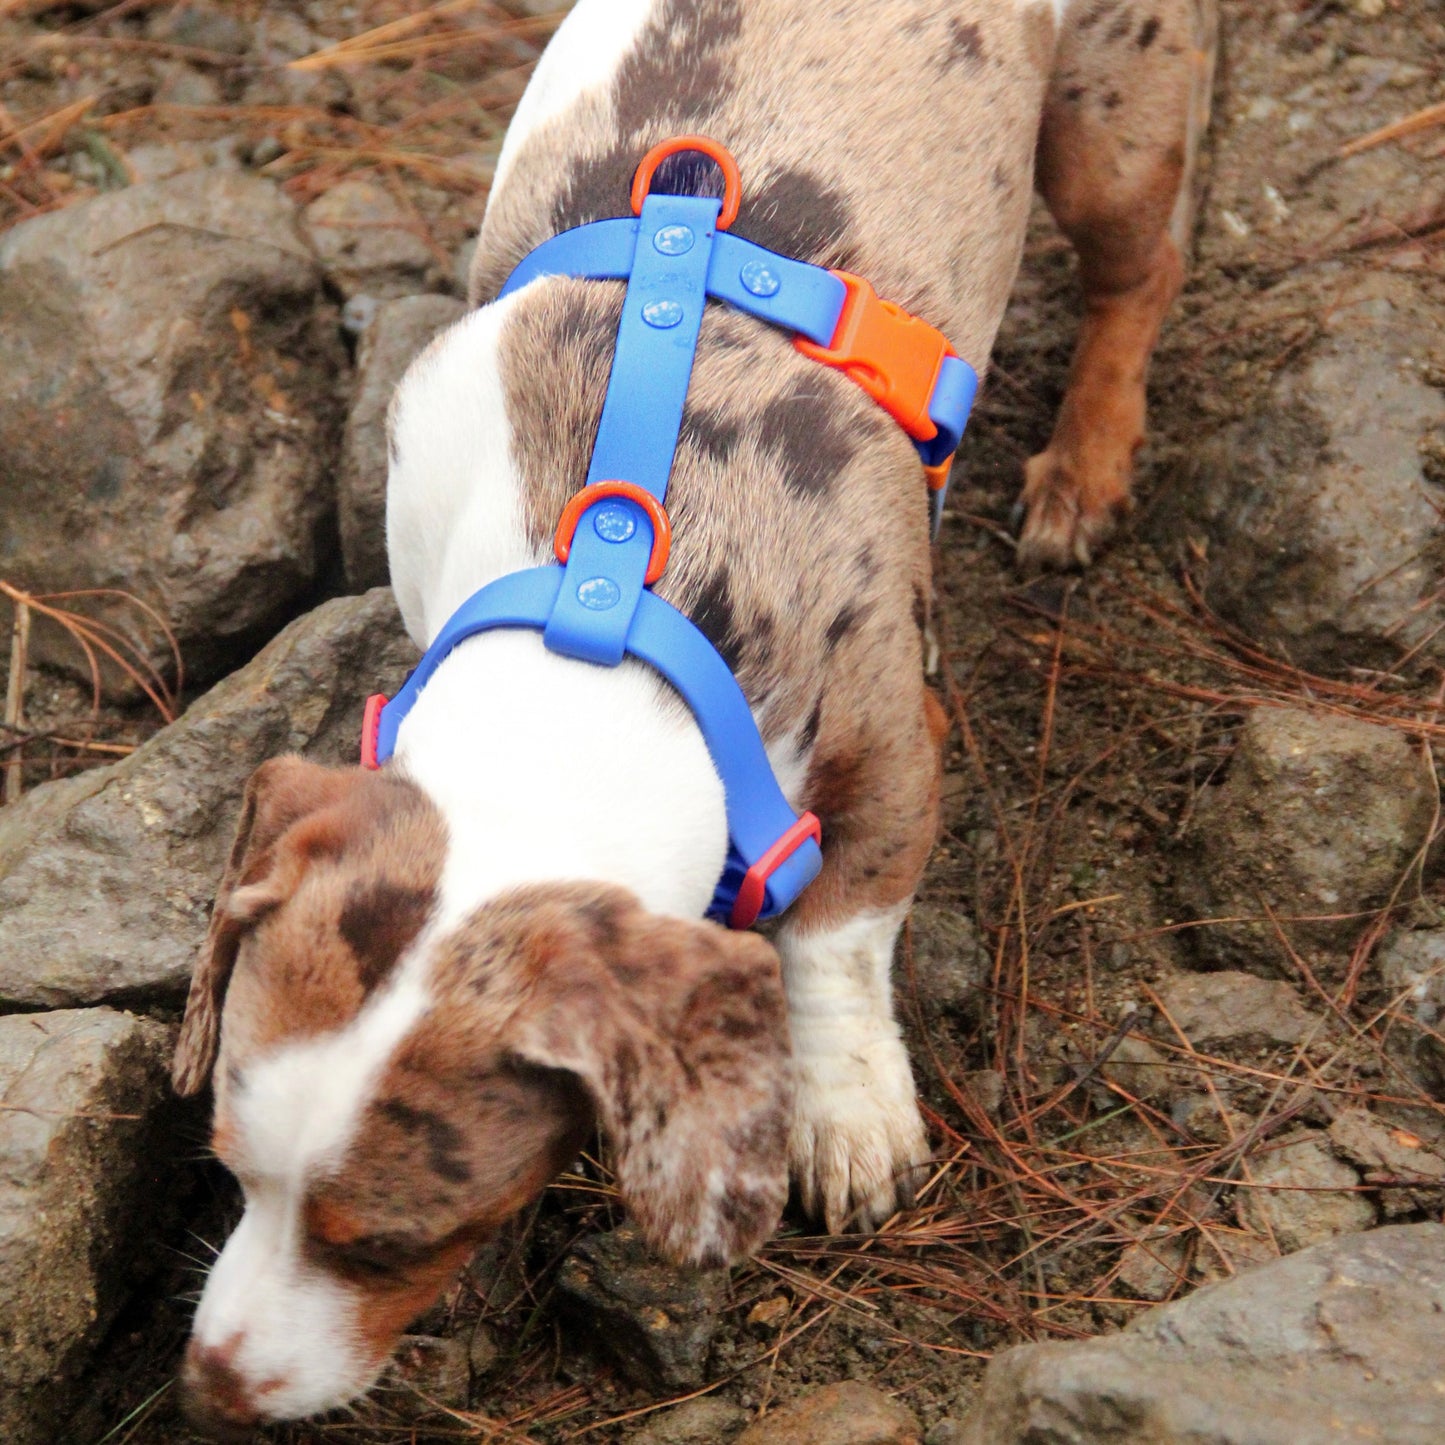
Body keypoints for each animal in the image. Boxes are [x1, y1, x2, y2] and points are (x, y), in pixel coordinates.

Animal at [169, 0, 1213, 1421]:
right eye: (227, 1162)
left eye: (399, 1240)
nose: (205, 1387)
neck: (601, 608)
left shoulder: (894, 751)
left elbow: (838, 930)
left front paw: (844, 1107)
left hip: (1112, 120)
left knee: (1137, 270)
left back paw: (1085, 460)